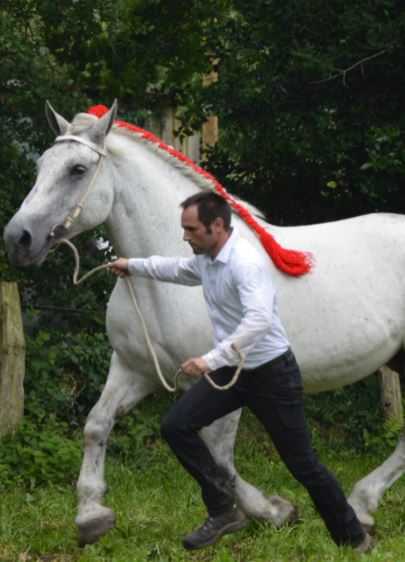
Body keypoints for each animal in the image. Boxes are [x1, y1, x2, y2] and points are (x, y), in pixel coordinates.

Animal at [3, 100, 404, 544]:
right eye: (40, 165)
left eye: (77, 169)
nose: (17, 239)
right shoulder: (132, 367)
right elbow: (97, 424)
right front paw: (91, 515)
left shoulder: (220, 379)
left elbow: (219, 458)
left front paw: (272, 511)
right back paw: (363, 506)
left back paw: (359, 505)